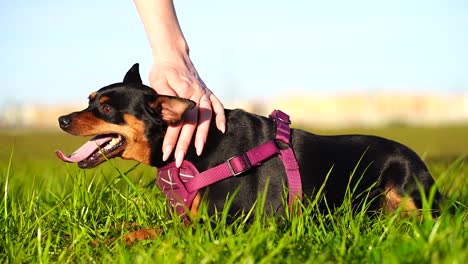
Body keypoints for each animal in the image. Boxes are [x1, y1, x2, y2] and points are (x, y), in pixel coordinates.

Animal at [56, 63, 440, 241]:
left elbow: (144, 231)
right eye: (90, 100)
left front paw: (114, 241)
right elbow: (136, 224)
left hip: (409, 187)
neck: (194, 148)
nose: (62, 119)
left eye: (107, 108)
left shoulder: (224, 225)